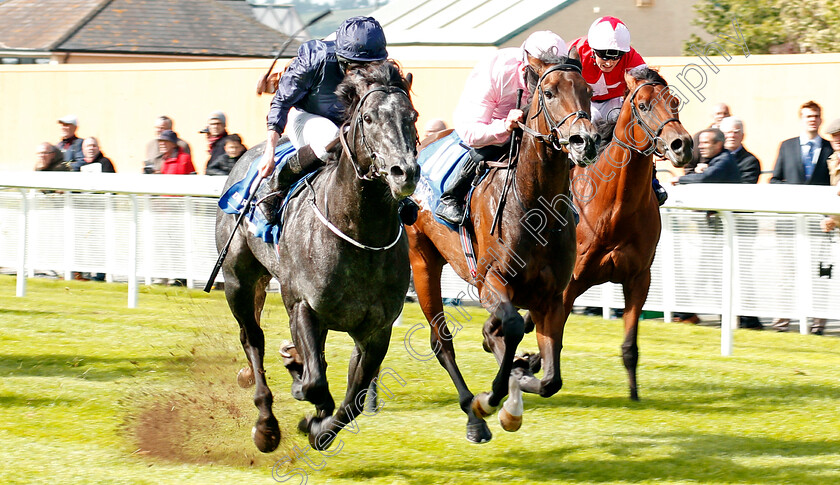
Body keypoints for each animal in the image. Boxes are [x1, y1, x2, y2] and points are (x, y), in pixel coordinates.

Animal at [217, 61, 420, 454]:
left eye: (412, 116)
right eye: (368, 117)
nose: (405, 172)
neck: (360, 237)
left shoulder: (376, 330)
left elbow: (353, 399)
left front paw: (319, 428)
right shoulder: (303, 306)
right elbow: (315, 384)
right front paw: (306, 405)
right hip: (238, 281)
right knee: (253, 340)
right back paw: (266, 425)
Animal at [406, 51, 596, 444]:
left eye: (588, 91)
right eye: (550, 93)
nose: (584, 141)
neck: (535, 205)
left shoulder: (551, 297)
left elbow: (550, 379)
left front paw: (520, 378)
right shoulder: (491, 282)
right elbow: (509, 327)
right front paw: (493, 399)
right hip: (422, 261)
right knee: (442, 341)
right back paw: (473, 415)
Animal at [560, 68, 692, 400]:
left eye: (674, 102)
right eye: (643, 105)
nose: (682, 145)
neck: (613, 209)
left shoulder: (638, 278)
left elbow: (630, 346)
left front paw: (634, 394)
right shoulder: (569, 281)